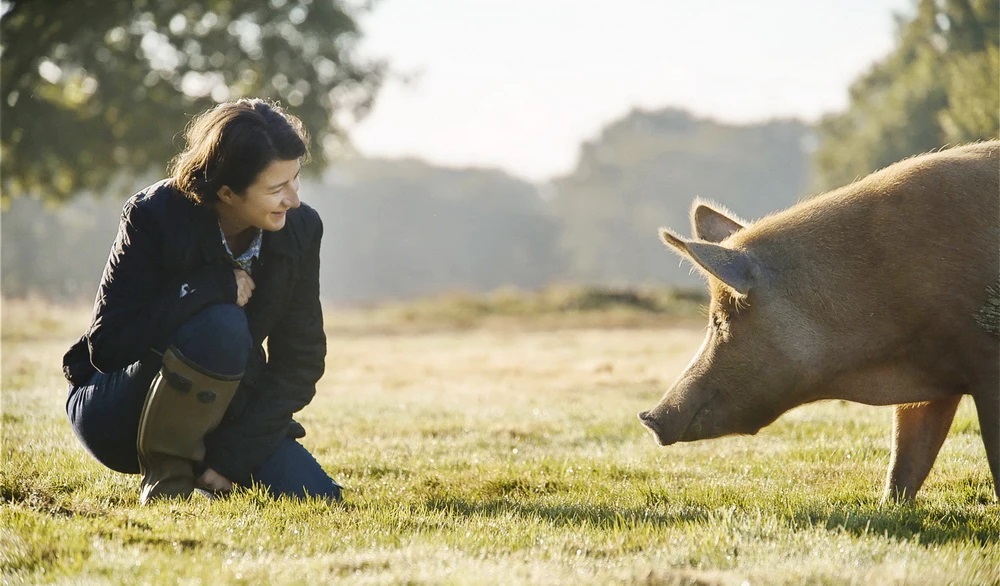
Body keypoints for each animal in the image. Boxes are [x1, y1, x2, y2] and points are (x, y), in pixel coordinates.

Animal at [640, 139, 1000, 500]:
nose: (649, 418)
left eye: (721, 320)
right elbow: (907, 457)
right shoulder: (932, 381)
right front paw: (888, 504)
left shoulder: (985, 362)